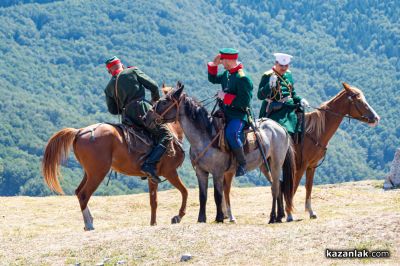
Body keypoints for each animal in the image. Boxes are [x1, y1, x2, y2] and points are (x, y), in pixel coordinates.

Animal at [41, 88, 188, 230]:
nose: (148, 117)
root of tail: (80, 131)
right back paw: (89, 225)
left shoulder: (152, 177)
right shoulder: (170, 172)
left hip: (89, 173)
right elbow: (184, 191)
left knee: (78, 192)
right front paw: (178, 216)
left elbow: (153, 201)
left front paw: (153, 223)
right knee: (84, 194)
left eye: (163, 102)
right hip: (98, 173)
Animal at [152, 82, 296, 222]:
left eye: (165, 101)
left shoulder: (218, 172)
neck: (205, 137)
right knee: (279, 185)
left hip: (276, 163)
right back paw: (279, 216)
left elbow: (217, 195)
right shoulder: (201, 172)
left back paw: (272, 217)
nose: (150, 114)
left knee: (275, 187)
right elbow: (203, 196)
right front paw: (201, 219)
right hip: (265, 165)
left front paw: (219, 217)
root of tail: (280, 127)